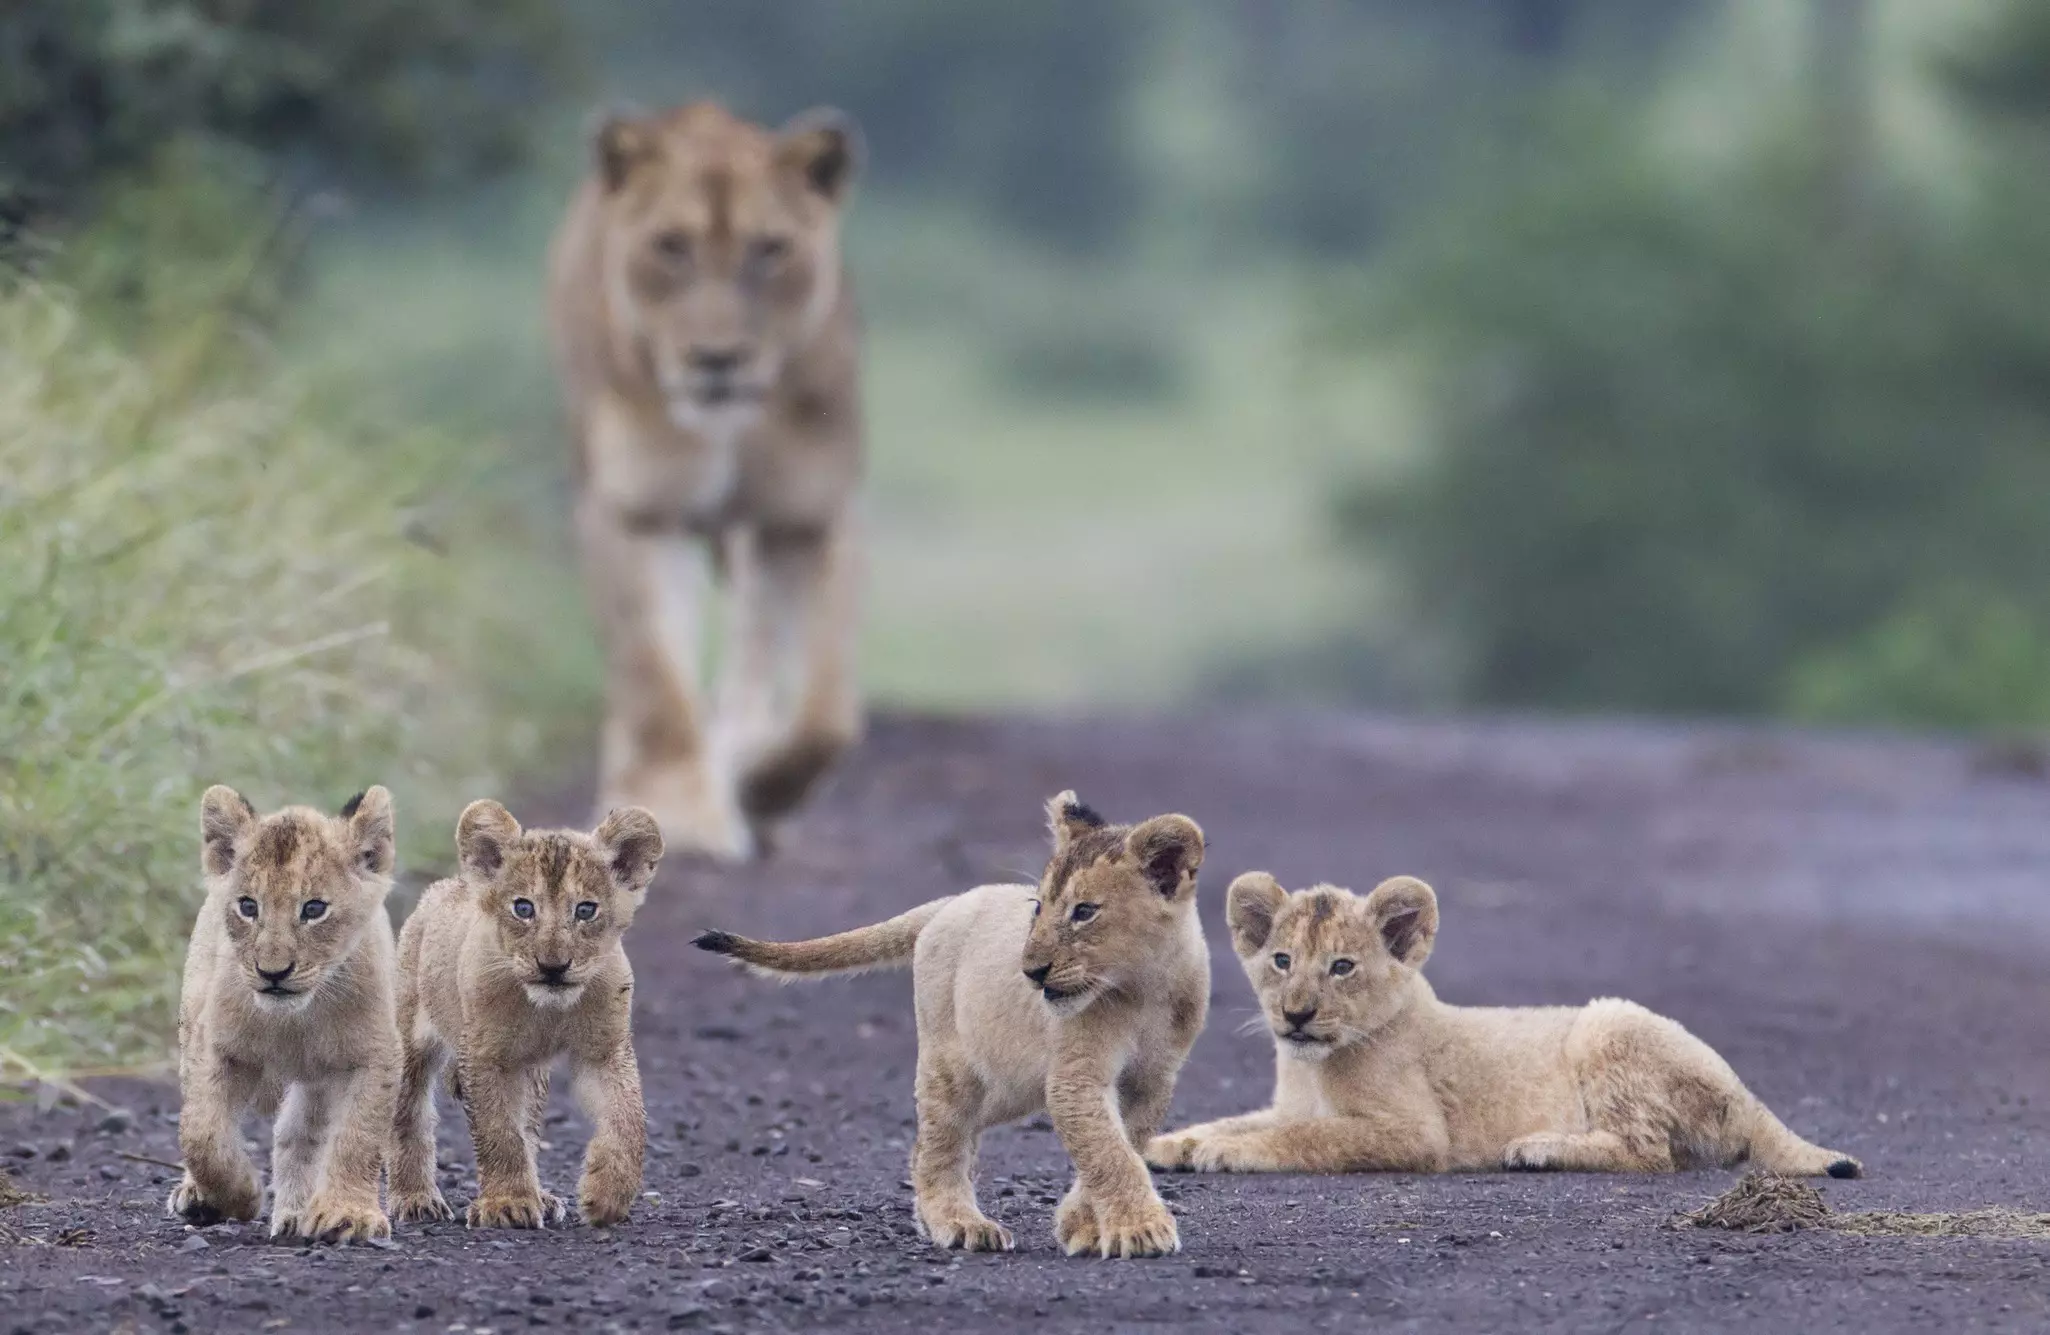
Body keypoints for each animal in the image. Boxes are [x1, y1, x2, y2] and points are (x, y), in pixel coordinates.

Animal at [169, 786, 401, 1243]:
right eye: (247, 906)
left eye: (313, 909)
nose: (272, 972)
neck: (294, 1021)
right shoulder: (216, 1047)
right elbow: (202, 1133)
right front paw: (234, 1197)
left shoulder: (375, 1055)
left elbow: (359, 1137)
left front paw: (347, 1214)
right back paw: (198, 1196)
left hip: (318, 1081)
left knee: (298, 1135)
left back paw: (295, 1214)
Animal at [388, 801, 664, 1229]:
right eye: (523, 908)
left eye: (585, 910)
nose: (553, 966)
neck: (547, 1009)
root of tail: (445, 886)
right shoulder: (485, 1054)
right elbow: (499, 1131)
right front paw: (508, 1203)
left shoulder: (605, 1050)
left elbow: (626, 1117)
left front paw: (607, 1195)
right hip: (411, 1036)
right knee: (410, 1115)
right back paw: (414, 1198)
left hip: (531, 1070)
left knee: (530, 1124)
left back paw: (544, 1197)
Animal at [547, 100, 867, 863]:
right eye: (671, 245)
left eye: (770, 248)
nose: (717, 359)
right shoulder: (636, 511)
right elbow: (657, 681)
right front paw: (684, 814)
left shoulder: (810, 514)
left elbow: (825, 714)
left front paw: (760, 786)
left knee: (756, 650)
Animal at [694, 792, 1208, 1257]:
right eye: (1038, 907)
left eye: (1084, 911)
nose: (1031, 971)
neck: (1143, 988)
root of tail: (949, 903)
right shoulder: (1076, 1075)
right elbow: (1107, 1151)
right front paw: (1139, 1228)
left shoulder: (1152, 1080)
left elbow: (1122, 1144)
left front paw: (1081, 1225)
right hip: (955, 1065)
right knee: (940, 1141)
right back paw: (961, 1223)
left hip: (1008, 1084)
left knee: (929, 1142)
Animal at [1147, 873, 1861, 1180]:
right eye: (1282, 961)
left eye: (1342, 967)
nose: (1295, 1014)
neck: (1314, 1064)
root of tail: (1746, 1093)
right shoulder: (1285, 1101)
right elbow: (1250, 1120)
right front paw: (1174, 1142)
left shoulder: (1414, 1132)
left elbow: (1310, 1138)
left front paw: (1222, 1154)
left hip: (1608, 1023)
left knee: (1650, 1153)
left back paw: (1540, 1148)